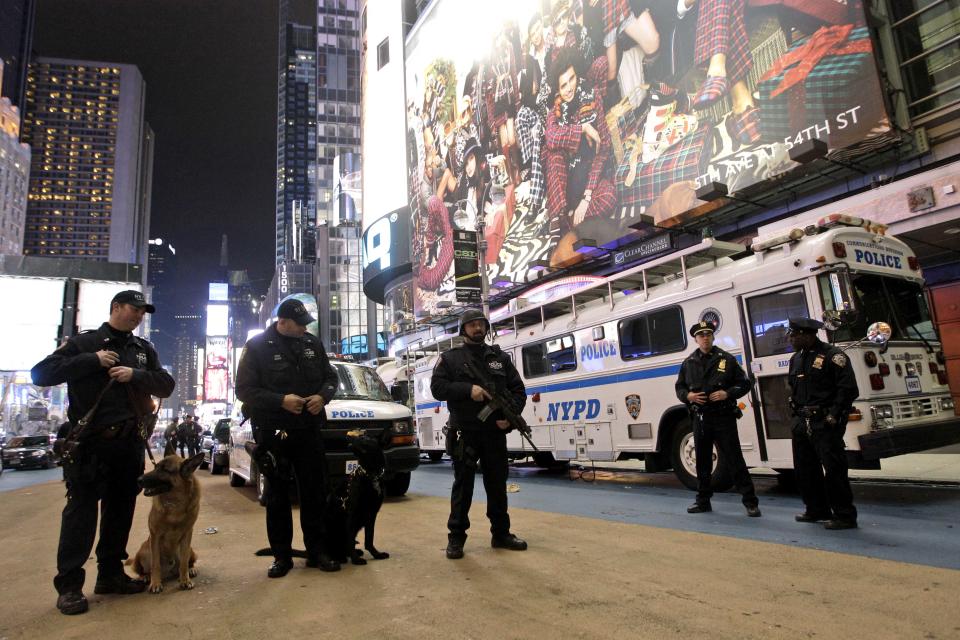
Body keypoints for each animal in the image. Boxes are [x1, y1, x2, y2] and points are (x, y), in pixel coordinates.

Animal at [128, 452, 203, 592]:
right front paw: (155, 583)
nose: (138, 479)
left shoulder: (187, 535)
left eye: (165, 470)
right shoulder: (155, 536)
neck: (175, 504)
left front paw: (185, 580)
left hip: (190, 549)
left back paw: (190, 570)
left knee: (187, 562)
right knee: (144, 570)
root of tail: (169, 571)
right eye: (156, 467)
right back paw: (145, 577)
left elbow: (184, 563)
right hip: (143, 550)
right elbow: (155, 564)